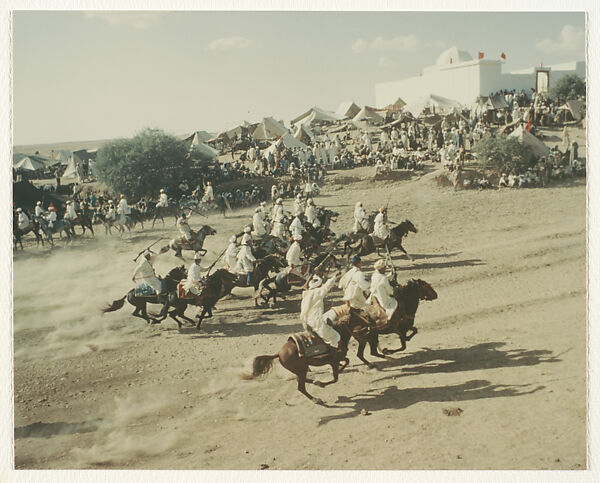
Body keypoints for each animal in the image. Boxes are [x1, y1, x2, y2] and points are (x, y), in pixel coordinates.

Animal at [241, 314, 372, 404]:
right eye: (360, 316)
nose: (369, 322)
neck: (339, 333)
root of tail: (278, 353)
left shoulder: (336, 359)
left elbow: (346, 361)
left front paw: (331, 376)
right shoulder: (333, 361)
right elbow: (335, 378)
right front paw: (323, 383)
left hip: (300, 370)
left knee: (299, 380)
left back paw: (314, 382)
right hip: (302, 369)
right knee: (301, 387)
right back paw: (316, 399)